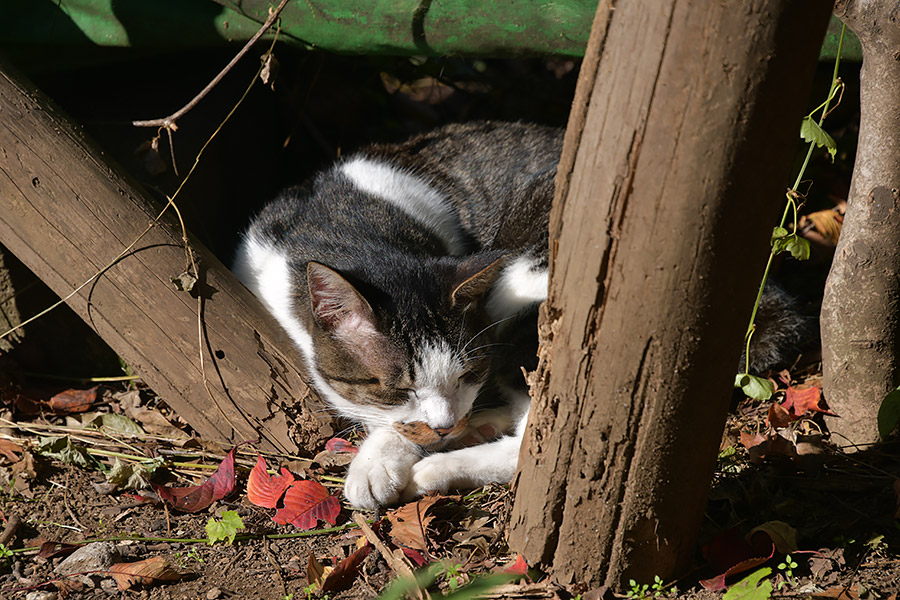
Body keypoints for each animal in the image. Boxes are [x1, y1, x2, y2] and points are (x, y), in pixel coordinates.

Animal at [234, 123, 556, 510]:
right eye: (400, 389)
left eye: (470, 375)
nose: (446, 427)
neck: (346, 227)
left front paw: (375, 464)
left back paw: (438, 467)